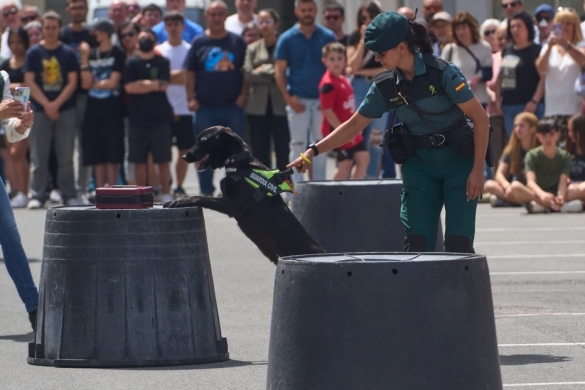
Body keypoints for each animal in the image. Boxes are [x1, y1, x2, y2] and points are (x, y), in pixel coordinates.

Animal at [163, 126, 324, 264]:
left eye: (202, 141)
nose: (184, 156)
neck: (238, 162)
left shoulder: (234, 205)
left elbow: (201, 197)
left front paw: (180, 201)